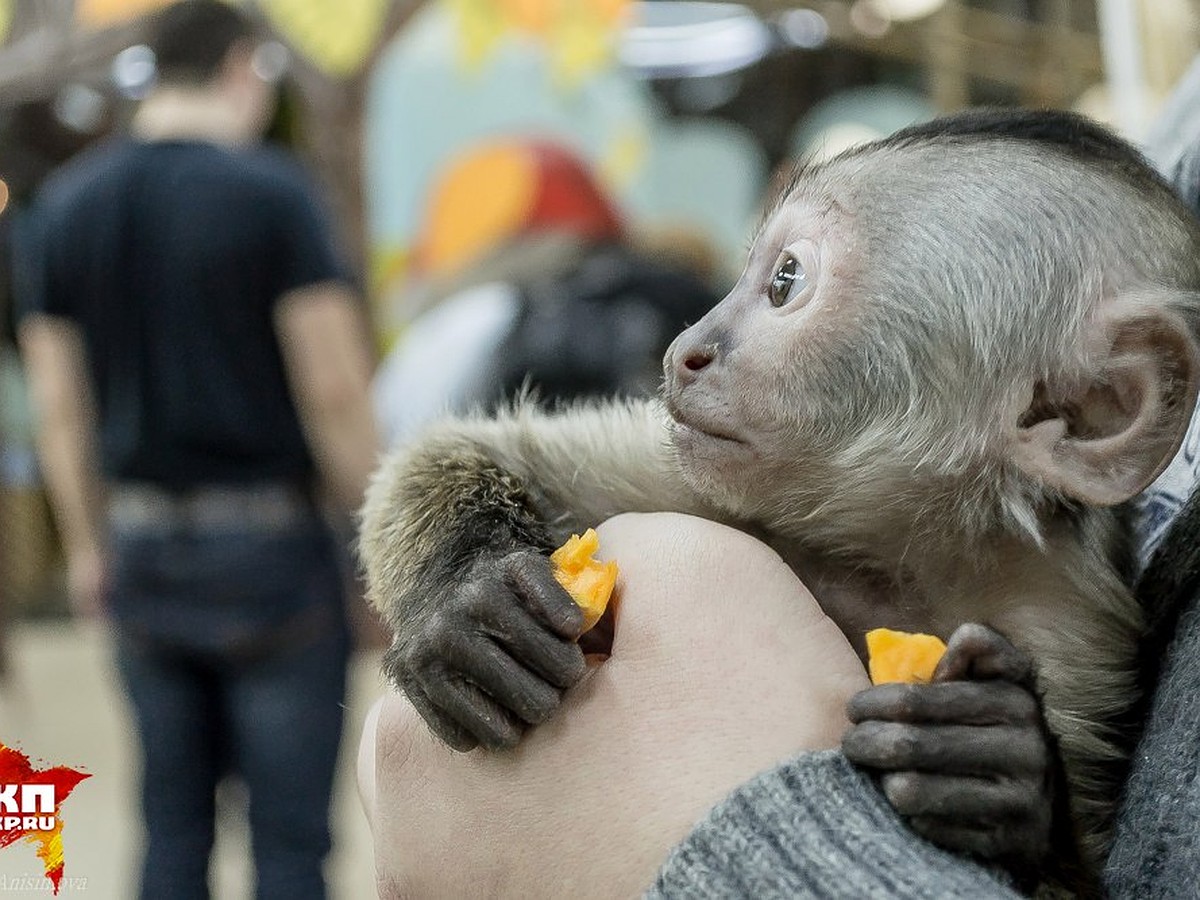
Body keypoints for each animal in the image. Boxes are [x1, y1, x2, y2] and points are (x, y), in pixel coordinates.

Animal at [360, 111, 1200, 888]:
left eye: (785, 282)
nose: (684, 350)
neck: (890, 554)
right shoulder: (696, 477)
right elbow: (474, 452)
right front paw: (465, 592)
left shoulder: (1066, 629)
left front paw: (1003, 775)